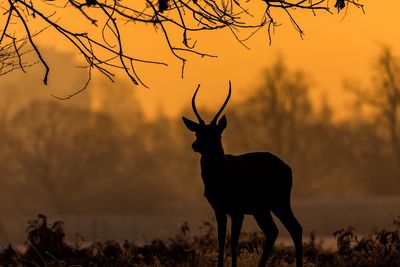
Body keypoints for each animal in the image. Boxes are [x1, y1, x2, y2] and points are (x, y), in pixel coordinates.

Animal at [182, 82, 304, 267]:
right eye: (198, 132)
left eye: (215, 134)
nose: (195, 145)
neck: (220, 177)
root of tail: (288, 168)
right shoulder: (219, 208)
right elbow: (221, 240)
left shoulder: (237, 209)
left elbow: (234, 241)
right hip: (262, 207)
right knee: (275, 230)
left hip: (279, 200)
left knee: (293, 228)